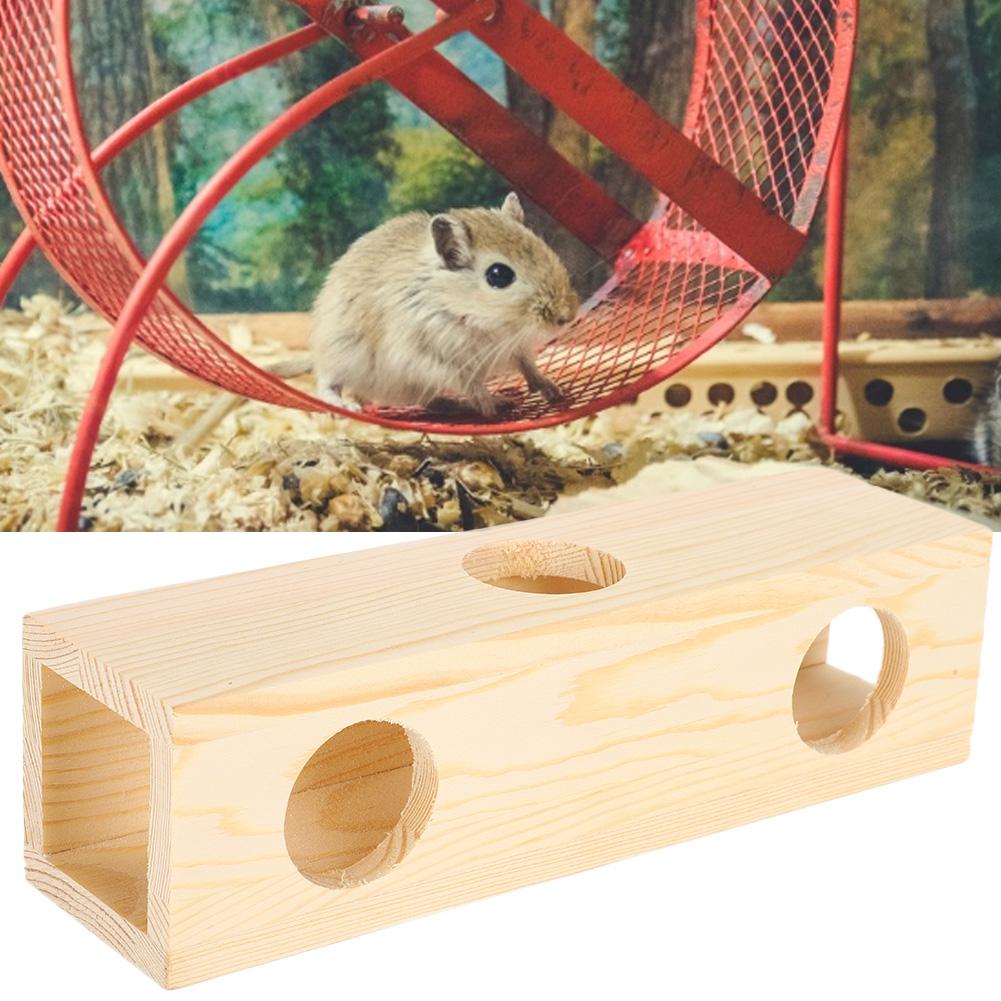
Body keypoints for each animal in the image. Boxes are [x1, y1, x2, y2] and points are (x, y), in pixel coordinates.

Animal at [310, 192, 578, 416]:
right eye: (498, 275)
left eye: (547, 249)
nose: (567, 317)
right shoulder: (431, 358)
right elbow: (470, 383)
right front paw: (491, 406)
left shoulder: (515, 347)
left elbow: (528, 366)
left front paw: (553, 391)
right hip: (340, 352)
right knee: (326, 383)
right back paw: (345, 406)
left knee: (429, 402)